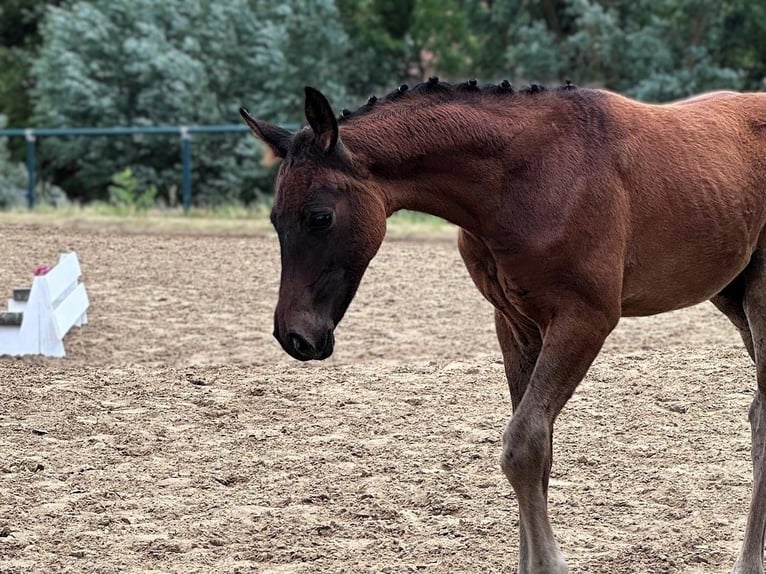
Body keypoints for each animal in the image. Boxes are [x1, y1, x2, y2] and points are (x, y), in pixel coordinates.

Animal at [240, 78, 766, 574]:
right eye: (274, 219)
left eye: (319, 217)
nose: (295, 336)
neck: (526, 176)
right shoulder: (515, 324)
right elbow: (540, 449)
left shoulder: (583, 320)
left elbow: (523, 444)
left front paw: (550, 564)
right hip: (732, 298)